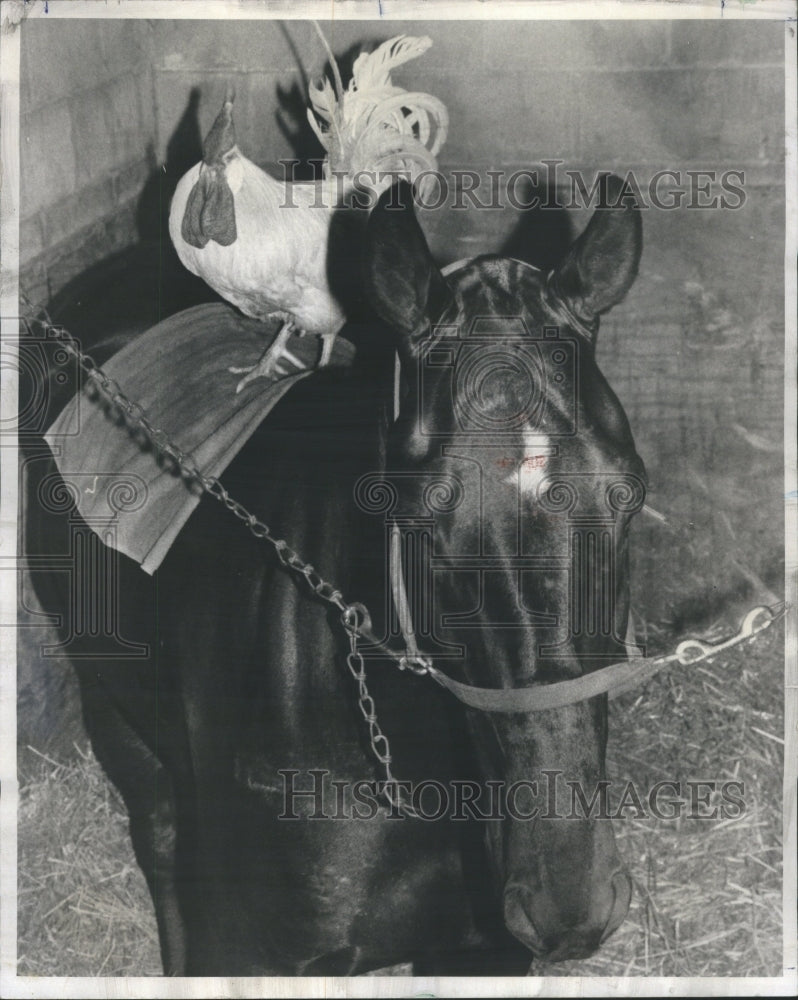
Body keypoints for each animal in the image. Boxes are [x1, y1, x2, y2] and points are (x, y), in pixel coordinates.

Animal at [28, 176, 648, 972]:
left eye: (628, 495)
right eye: (420, 520)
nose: (568, 903)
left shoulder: (482, 947)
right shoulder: (249, 949)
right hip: (114, 706)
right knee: (160, 835)